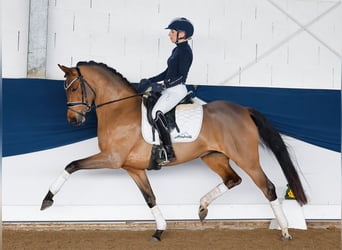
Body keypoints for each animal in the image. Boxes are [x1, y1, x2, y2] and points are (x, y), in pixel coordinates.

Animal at [41, 60, 308, 240]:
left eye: (73, 89)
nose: (72, 121)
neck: (119, 110)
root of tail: (243, 110)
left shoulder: (112, 159)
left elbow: (72, 165)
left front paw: (47, 200)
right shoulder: (133, 168)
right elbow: (150, 198)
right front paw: (160, 230)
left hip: (246, 158)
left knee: (267, 187)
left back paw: (285, 230)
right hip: (213, 157)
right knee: (233, 179)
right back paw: (202, 207)